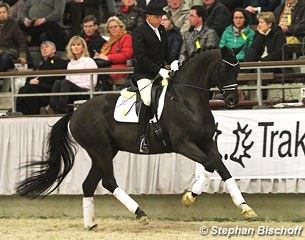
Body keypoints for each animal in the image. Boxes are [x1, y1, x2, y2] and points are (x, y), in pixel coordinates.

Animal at [17, 46, 256, 229]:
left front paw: (245, 208)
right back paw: (140, 214)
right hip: (101, 150)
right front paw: (189, 198)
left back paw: (90, 224)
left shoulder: (207, 142)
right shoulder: (183, 144)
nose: (233, 100)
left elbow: (223, 170)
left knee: (89, 184)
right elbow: (209, 166)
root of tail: (75, 112)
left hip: (104, 151)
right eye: (224, 68)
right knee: (108, 181)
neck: (187, 100)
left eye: (238, 69)